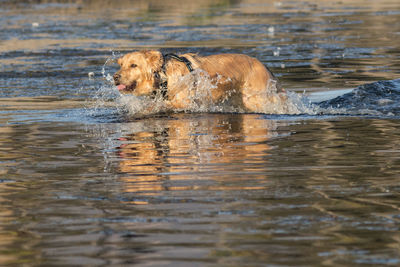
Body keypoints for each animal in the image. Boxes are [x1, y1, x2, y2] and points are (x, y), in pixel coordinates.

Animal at [114, 50, 286, 112]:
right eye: (121, 65)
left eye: (134, 65)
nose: (115, 77)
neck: (164, 77)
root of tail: (264, 66)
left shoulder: (185, 102)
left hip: (255, 99)